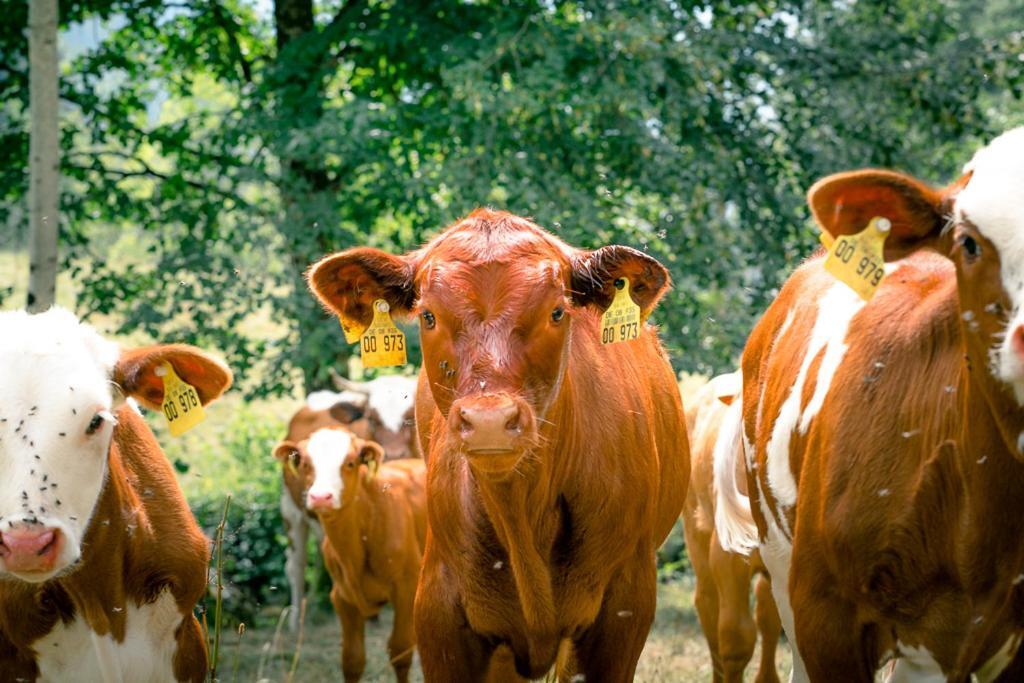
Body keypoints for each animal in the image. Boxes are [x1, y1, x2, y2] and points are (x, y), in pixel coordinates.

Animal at [274, 423, 425, 679]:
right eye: (305, 464)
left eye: (351, 463)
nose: (321, 497)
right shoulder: (342, 598)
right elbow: (352, 659)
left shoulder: (407, 590)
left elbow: (401, 651)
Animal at [303, 208, 688, 683]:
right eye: (428, 316)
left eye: (557, 311)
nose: (490, 422)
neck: (522, 511)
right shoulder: (439, 616)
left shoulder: (623, 614)